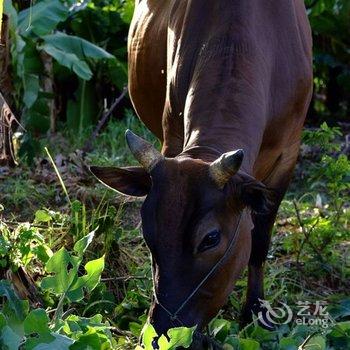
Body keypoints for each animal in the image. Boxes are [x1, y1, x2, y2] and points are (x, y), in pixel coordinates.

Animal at [90, 0, 312, 344]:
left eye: (210, 239)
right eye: (148, 234)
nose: (162, 332)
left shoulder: (288, 155)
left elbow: (260, 240)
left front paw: (256, 312)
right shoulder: (170, 136)